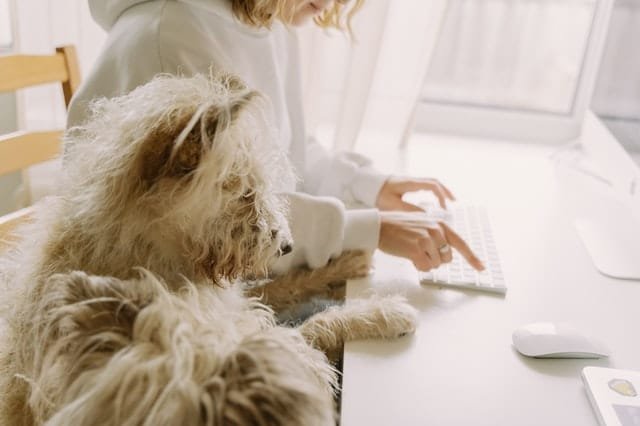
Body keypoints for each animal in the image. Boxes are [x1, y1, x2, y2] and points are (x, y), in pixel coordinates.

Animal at [0, 75, 418, 424]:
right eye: (245, 192)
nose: (287, 245)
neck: (140, 247)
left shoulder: (231, 301)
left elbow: (289, 286)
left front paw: (346, 264)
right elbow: (309, 330)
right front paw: (381, 313)